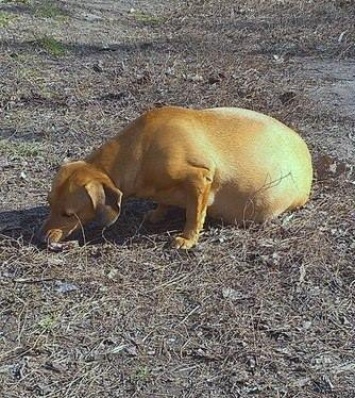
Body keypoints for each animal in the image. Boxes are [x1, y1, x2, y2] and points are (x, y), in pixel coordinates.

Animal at [40, 105, 314, 249]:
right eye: (49, 204)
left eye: (68, 214)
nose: (41, 238)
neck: (141, 148)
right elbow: (162, 202)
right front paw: (157, 213)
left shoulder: (200, 178)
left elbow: (195, 214)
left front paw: (187, 238)